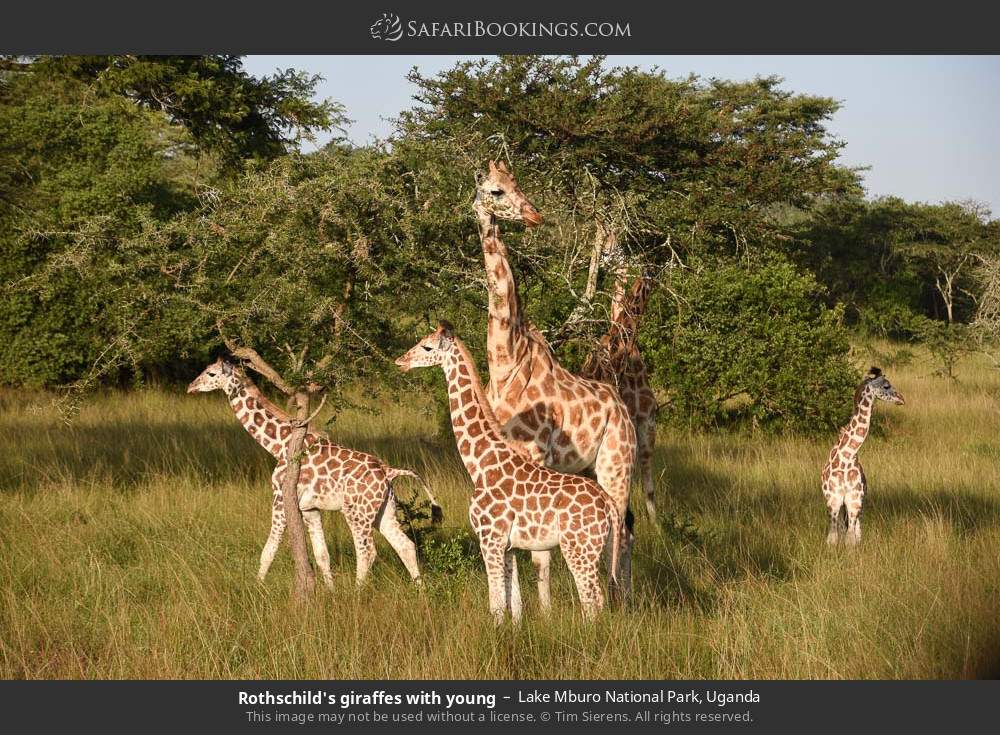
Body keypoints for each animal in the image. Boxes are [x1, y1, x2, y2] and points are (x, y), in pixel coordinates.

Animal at [186, 360, 440, 588]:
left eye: (211, 373)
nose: (190, 386)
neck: (279, 445)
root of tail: (388, 471)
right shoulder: (310, 508)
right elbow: (322, 555)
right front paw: (330, 593)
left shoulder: (280, 499)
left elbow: (269, 549)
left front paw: (257, 589)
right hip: (383, 511)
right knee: (405, 545)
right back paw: (420, 592)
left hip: (356, 512)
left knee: (367, 552)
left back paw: (357, 595)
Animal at [472, 162, 636, 608]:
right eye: (495, 190)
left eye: (518, 183)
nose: (534, 215)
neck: (505, 360)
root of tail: (622, 409)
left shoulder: (536, 453)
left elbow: (540, 555)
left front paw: (544, 614)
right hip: (592, 468)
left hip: (617, 463)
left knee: (623, 529)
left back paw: (620, 596)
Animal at [824, 368, 904, 548]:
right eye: (886, 386)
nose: (901, 399)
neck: (847, 456)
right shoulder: (833, 500)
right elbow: (832, 539)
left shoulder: (855, 501)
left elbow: (851, 540)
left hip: (858, 506)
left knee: (855, 531)